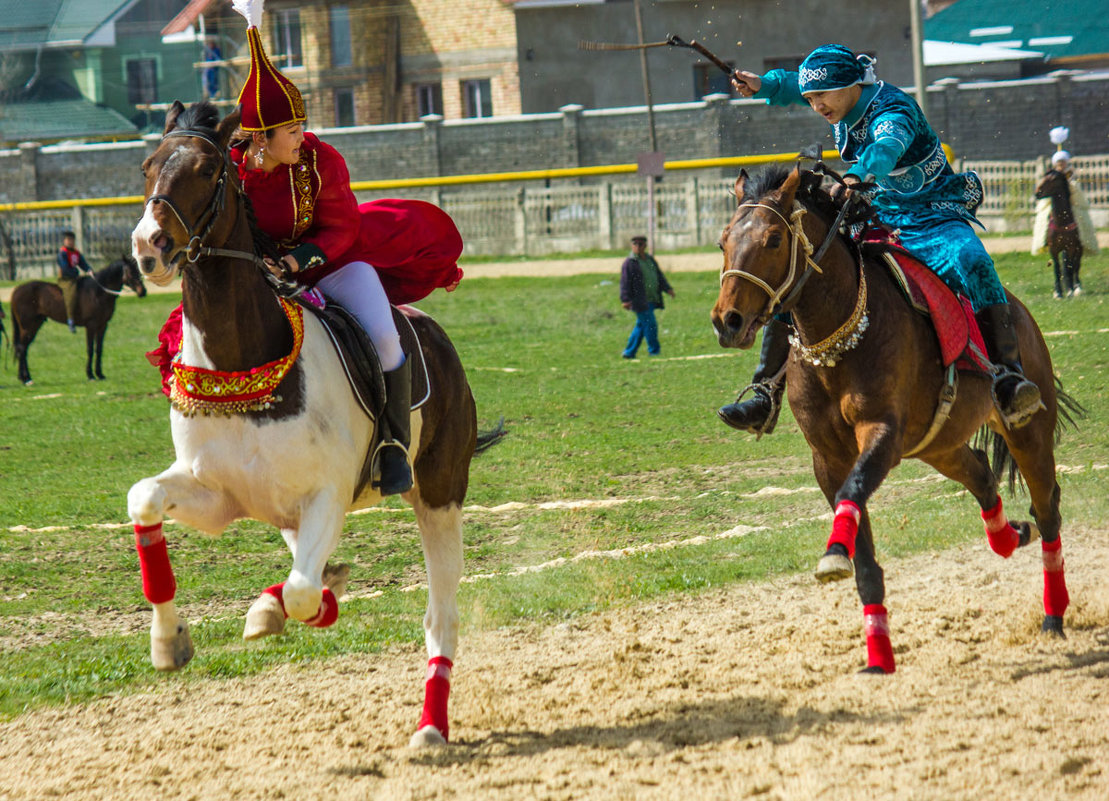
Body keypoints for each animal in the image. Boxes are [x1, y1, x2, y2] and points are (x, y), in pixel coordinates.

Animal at [9, 254, 147, 381]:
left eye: (139, 270)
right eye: (130, 271)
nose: (143, 292)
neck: (98, 293)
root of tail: (16, 290)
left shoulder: (102, 326)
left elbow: (99, 349)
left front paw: (100, 374)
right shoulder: (91, 326)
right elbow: (90, 349)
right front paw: (90, 375)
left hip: (35, 325)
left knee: (24, 349)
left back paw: (24, 377)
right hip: (27, 327)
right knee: (21, 348)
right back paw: (26, 378)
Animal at [128, 103, 476, 745]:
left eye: (210, 169)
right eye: (148, 165)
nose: (149, 246)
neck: (242, 361)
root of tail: (432, 332)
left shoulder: (328, 498)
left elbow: (302, 591)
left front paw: (284, 606)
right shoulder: (215, 495)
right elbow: (145, 500)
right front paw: (169, 642)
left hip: (439, 494)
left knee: (439, 616)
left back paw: (430, 728)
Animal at [709, 166, 1082, 674]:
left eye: (772, 239)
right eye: (724, 241)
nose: (726, 320)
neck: (840, 336)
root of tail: (1021, 312)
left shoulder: (881, 434)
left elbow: (852, 492)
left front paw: (833, 555)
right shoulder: (828, 458)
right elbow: (861, 550)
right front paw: (877, 653)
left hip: (1028, 433)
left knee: (1047, 511)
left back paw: (1053, 615)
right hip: (940, 443)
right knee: (982, 474)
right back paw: (1009, 537)